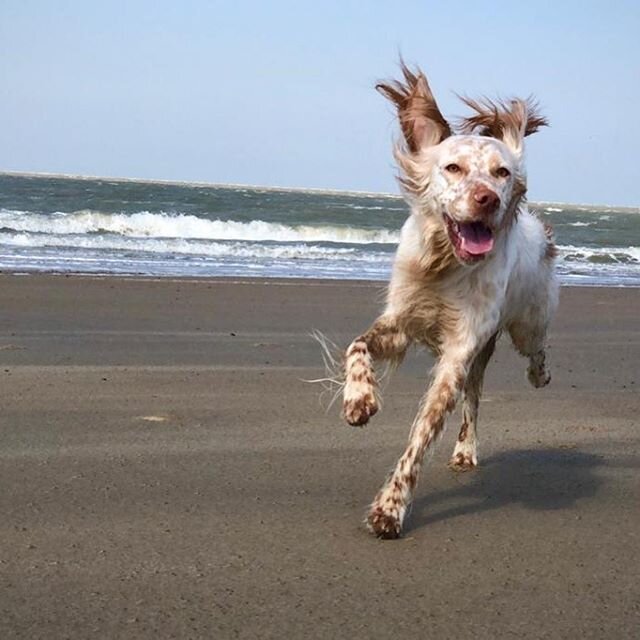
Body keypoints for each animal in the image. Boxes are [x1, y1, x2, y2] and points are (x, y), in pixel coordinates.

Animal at [342, 65, 556, 536]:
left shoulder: (459, 349)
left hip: (525, 324)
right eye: (453, 167)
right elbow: (357, 345)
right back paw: (464, 450)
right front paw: (359, 399)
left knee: (534, 351)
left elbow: (421, 434)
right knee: (473, 399)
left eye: (502, 172)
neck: (446, 266)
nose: (487, 199)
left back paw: (539, 376)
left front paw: (390, 507)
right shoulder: (401, 322)